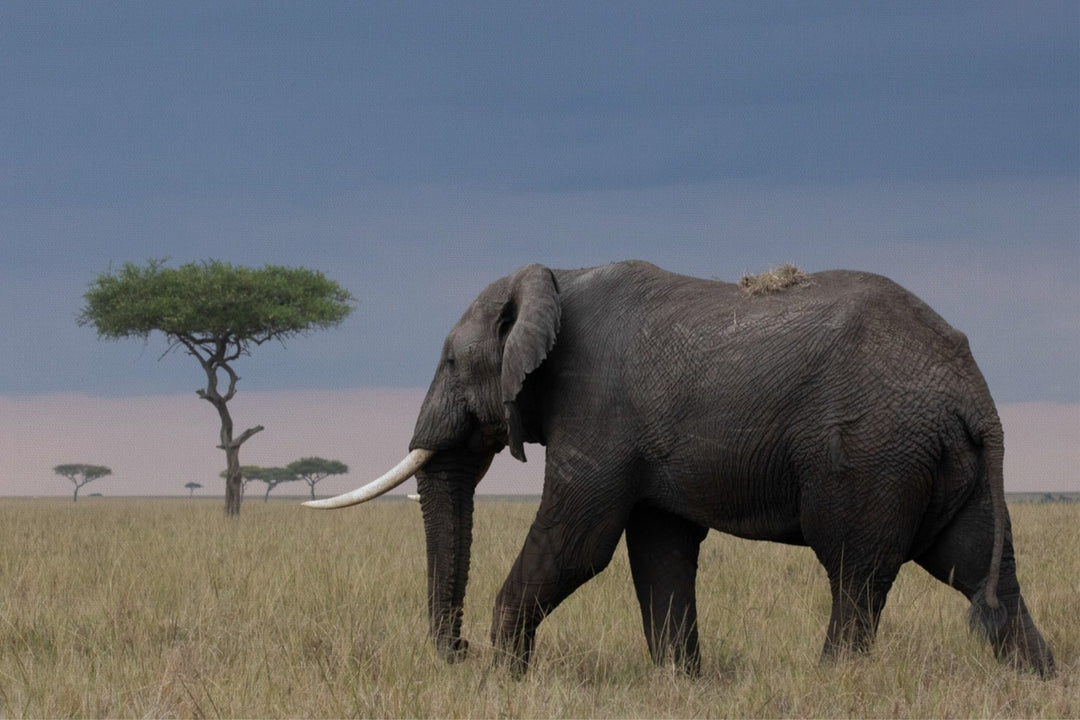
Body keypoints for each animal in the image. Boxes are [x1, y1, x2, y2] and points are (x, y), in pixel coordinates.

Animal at [307, 260, 1054, 678]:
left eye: (451, 361)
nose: (458, 653)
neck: (554, 274)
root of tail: (974, 393)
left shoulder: (597, 408)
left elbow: (578, 543)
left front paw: (504, 679)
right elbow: (659, 549)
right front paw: (681, 682)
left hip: (875, 452)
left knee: (856, 573)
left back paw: (833, 684)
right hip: (940, 459)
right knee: (979, 571)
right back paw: (1036, 682)